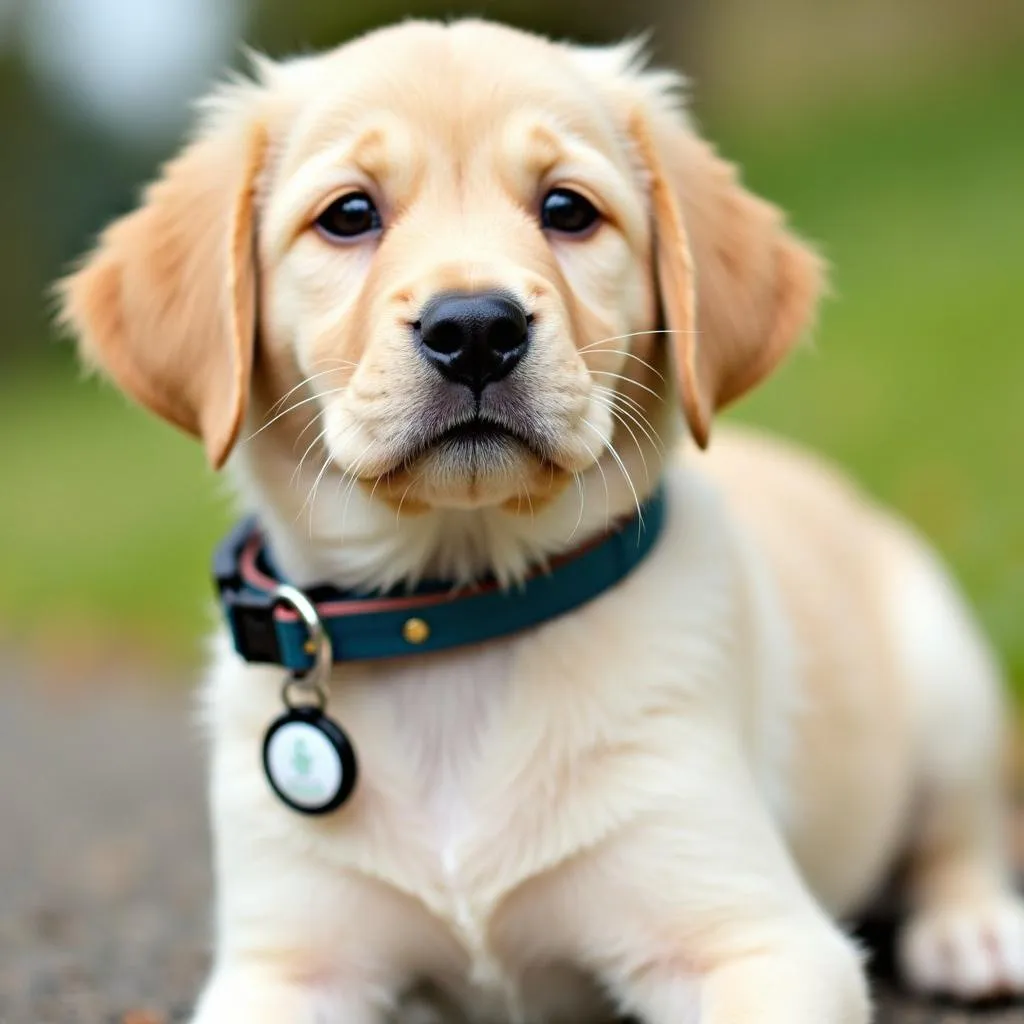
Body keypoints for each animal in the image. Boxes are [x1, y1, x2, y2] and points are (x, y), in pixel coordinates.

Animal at [59, 16, 1019, 1024]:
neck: (458, 614)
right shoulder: (285, 964)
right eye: (349, 215)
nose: (476, 329)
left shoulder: (756, 938)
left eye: (567, 208)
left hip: (946, 675)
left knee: (959, 831)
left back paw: (972, 931)